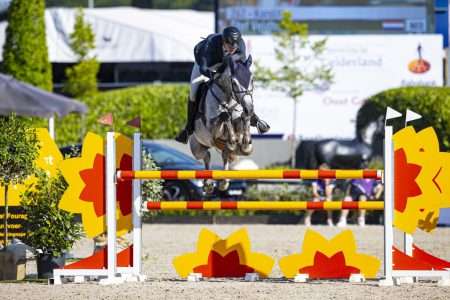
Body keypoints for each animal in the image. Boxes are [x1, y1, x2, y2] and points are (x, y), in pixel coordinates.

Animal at [188, 55, 255, 193]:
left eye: (252, 80)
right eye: (234, 83)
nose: (249, 108)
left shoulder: (239, 119)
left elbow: (242, 119)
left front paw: (246, 142)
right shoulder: (211, 128)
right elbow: (225, 116)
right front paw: (233, 139)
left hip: (228, 150)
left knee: (226, 154)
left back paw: (224, 181)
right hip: (197, 147)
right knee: (206, 155)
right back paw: (208, 183)